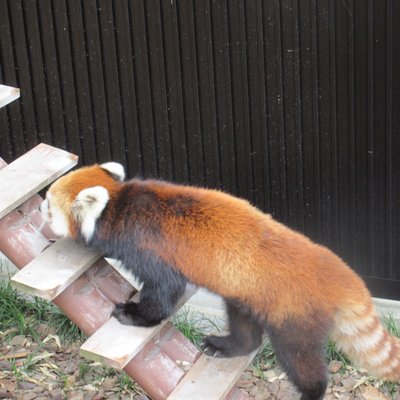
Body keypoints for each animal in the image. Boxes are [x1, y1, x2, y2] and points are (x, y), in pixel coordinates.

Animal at [41, 162, 400, 400]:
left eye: (49, 206)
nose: (42, 204)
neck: (118, 205)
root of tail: (340, 273)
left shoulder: (147, 248)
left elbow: (165, 291)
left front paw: (135, 315)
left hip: (293, 316)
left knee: (301, 360)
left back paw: (310, 392)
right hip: (245, 295)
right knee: (246, 329)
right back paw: (228, 345)